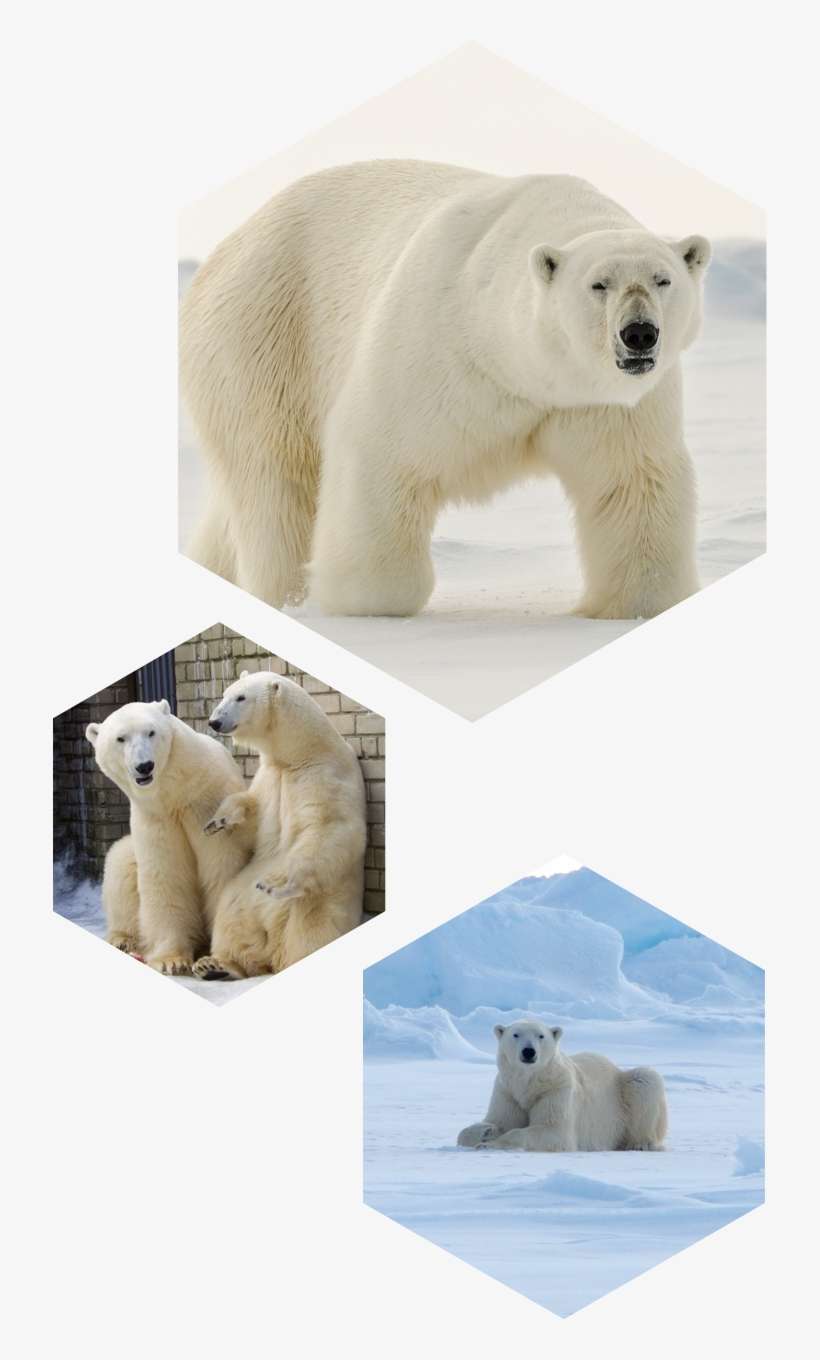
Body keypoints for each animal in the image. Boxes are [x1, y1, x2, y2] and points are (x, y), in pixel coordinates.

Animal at [86, 700, 252, 974]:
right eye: (120, 738)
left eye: (151, 732)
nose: (144, 766)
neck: (174, 792)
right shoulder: (155, 817)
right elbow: (164, 872)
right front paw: (171, 960)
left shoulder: (208, 803)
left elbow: (223, 866)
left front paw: (217, 960)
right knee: (121, 862)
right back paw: (123, 939)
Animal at [180, 159, 710, 621]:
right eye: (599, 285)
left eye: (662, 279)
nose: (639, 333)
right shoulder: (438, 348)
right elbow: (382, 455)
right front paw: (361, 598)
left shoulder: (602, 403)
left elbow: (630, 479)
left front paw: (632, 604)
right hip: (264, 337)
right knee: (277, 482)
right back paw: (289, 595)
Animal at [190, 671, 368, 979]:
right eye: (226, 693)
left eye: (241, 697)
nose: (214, 721)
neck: (300, 753)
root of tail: (272, 951)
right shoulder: (271, 777)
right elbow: (254, 815)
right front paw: (217, 820)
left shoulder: (324, 776)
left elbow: (328, 830)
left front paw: (277, 881)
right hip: (241, 895)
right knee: (231, 922)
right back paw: (216, 965)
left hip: (320, 903)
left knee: (310, 933)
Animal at [457, 1020, 667, 1152]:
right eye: (515, 1034)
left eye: (541, 1036)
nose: (529, 1051)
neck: (529, 1083)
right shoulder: (508, 1092)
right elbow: (494, 1122)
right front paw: (486, 1132)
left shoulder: (556, 1089)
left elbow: (553, 1130)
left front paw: (489, 1144)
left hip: (624, 1092)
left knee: (646, 1081)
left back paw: (639, 1144)